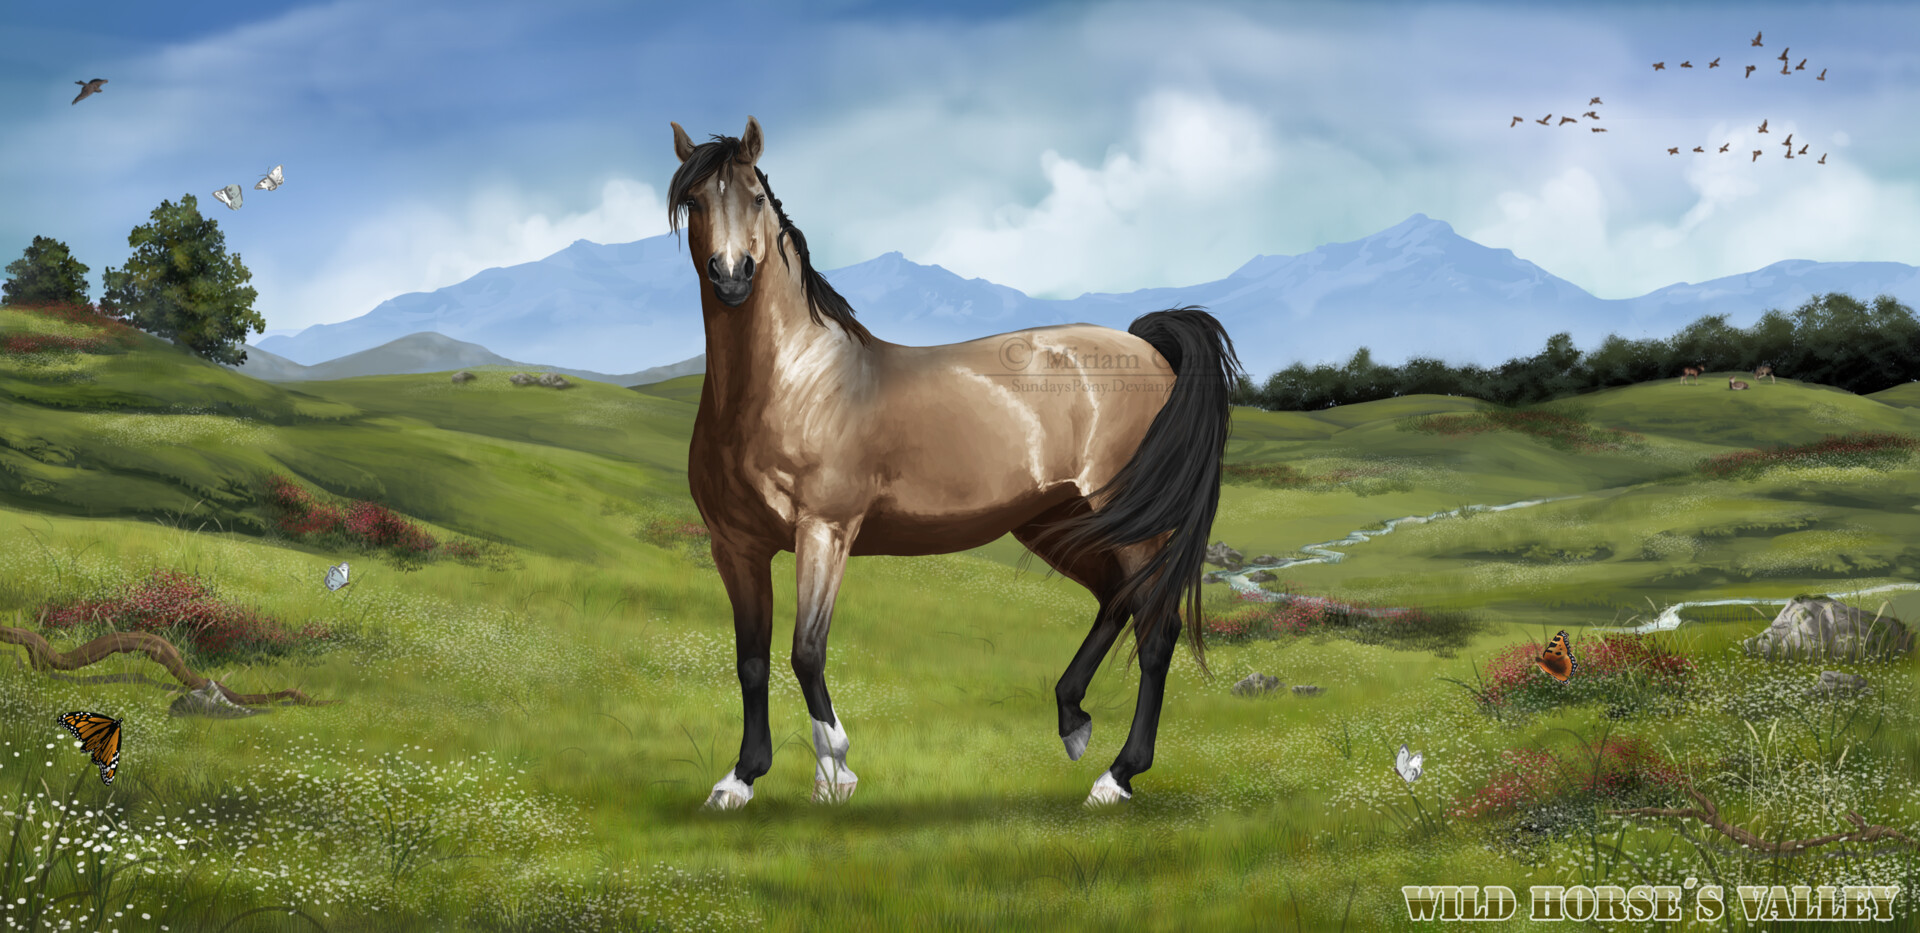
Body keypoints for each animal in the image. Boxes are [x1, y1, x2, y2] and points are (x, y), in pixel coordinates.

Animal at [668, 116, 1243, 810]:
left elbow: (806, 651)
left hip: (1131, 522)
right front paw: (740, 779)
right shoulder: (736, 545)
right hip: (1057, 521)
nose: (731, 277)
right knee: (1118, 599)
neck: (792, 381)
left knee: (1156, 631)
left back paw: (1117, 776)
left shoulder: (824, 531)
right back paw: (1072, 719)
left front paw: (835, 771)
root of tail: (1149, 349)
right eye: (695, 201)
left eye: (755, 197)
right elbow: (750, 659)